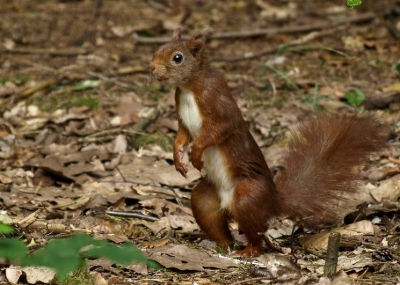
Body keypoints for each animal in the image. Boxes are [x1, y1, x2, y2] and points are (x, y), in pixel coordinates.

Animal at [149, 27, 388, 256]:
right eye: (158, 48)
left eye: (177, 57)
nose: (151, 69)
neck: (189, 87)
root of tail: (273, 201)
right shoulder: (182, 115)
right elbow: (182, 136)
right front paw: (178, 158)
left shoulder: (217, 102)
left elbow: (218, 130)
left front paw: (196, 155)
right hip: (207, 199)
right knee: (212, 216)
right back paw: (222, 245)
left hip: (248, 195)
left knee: (256, 235)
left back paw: (248, 251)